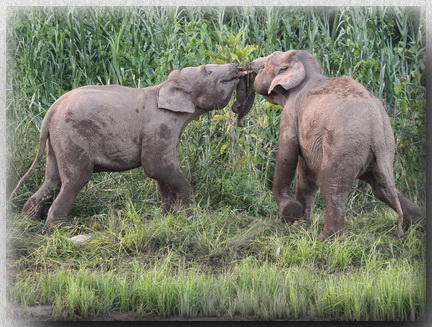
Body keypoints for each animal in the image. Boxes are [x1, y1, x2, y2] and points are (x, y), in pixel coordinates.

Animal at [11, 62, 250, 229]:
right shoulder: (160, 126)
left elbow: (159, 174)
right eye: (207, 70)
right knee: (75, 180)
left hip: (57, 141)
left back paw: (28, 220)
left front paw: (168, 216)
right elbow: (156, 166)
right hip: (72, 136)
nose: (239, 66)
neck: (163, 86)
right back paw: (58, 229)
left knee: (52, 180)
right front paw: (185, 217)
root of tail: (51, 110)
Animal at [251, 50, 424, 241]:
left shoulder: (291, 112)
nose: (249, 65)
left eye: (265, 64)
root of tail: (376, 124)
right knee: (381, 186)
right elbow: (305, 175)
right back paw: (419, 223)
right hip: (383, 147)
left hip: (344, 143)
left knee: (332, 187)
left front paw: (290, 213)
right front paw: (300, 228)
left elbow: (287, 154)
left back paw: (324, 239)